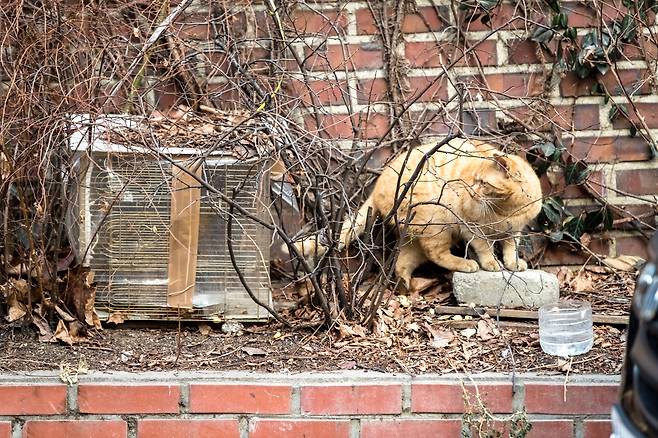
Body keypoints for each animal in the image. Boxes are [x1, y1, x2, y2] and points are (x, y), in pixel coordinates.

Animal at [285, 137, 543, 289]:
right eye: (473, 181)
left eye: (483, 183)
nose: (471, 191)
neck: (508, 210)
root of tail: (376, 185)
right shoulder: (472, 228)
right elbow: (485, 248)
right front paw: (492, 264)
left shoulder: (515, 231)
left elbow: (510, 247)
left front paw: (513, 263)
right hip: (437, 223)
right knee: (436, 254)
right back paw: (464, 264)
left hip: (416, 236)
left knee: (403, 262)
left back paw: (406, 286)